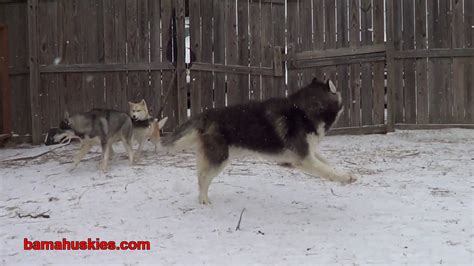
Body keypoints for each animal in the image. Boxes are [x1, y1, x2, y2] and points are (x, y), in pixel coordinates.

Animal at [161, 78, 358, 205]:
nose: (349, 102)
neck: (304, 111)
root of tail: (207, 114)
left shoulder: (309, 152)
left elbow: (328, 164)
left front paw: (348, 174)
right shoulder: (303, 159)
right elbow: (327, 170)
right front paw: (345, 177)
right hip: (219, 159)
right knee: (202, 178)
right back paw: (203, 200)